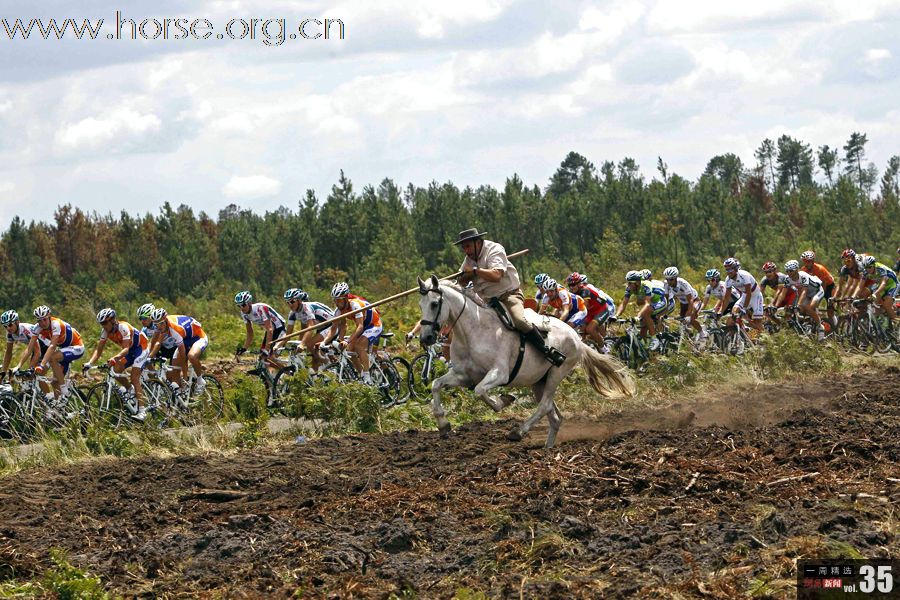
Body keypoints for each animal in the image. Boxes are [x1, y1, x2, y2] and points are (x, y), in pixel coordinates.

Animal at [418, 276, 636, 446]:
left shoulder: (499, 374)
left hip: (557, 374)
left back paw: (519, 432)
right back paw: (548, 449)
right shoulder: (463, 375)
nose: (426, 338)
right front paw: (443, 425)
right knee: (555, 417)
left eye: (434, 304)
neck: (473, 331)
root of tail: (577, 338)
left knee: (545, 406)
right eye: (421, 306)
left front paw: (503, 401)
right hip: (538, 381)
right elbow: (436, 385)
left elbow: (481, 391)